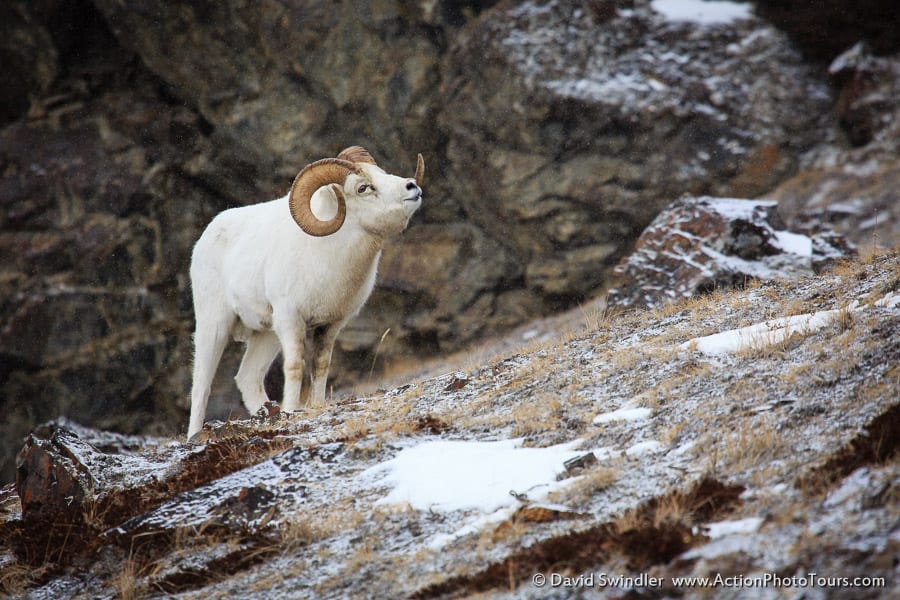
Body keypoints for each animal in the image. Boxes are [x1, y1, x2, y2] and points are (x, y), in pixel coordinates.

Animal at [187, 145, 426, 436]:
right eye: (363, 188)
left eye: (382, 173)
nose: (412, 186)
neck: (326, 257)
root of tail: (206, 237)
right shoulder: (292, 320)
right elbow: (295, 366)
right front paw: (292, 410)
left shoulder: (330, 325)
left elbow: (320, 365)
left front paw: (315, 406)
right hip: (215, 327)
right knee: (201, 386)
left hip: (266, 335)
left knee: (247, 378)